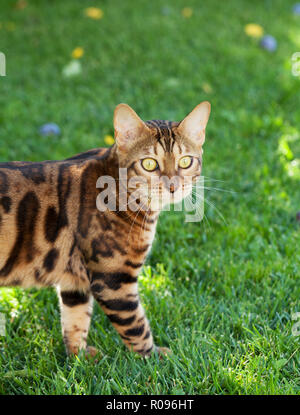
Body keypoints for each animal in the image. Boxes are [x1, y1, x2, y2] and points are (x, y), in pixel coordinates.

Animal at [0, 102, 211, 360]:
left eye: (186, 161)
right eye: (149, 164)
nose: (173, 186)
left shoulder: (74, 280)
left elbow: (75, 319)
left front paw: (79, 358)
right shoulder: (113, 279)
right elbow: (137, 327)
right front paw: (155, 358)